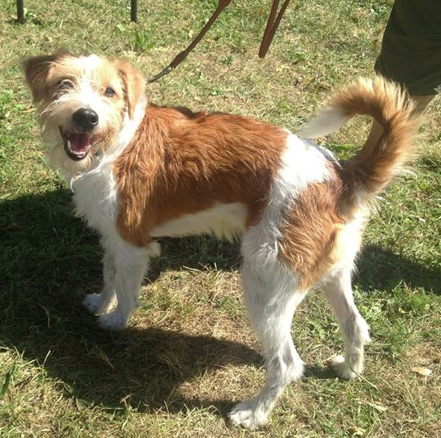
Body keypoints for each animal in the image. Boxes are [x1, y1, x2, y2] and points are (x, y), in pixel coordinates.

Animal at [24, 52, 420, 432]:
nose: (86, 116)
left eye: (110, 92)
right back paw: (349, 369)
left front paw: (116, 320)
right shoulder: (112, 237)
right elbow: (109, 276)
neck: (117, 141)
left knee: (287, 364)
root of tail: (340, 179)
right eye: (64, 83)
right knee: (356, 326)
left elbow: (126, 288)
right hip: (332, 274)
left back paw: (253, 413)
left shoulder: (133, 244)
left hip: (265, 286)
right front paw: (101, 303)